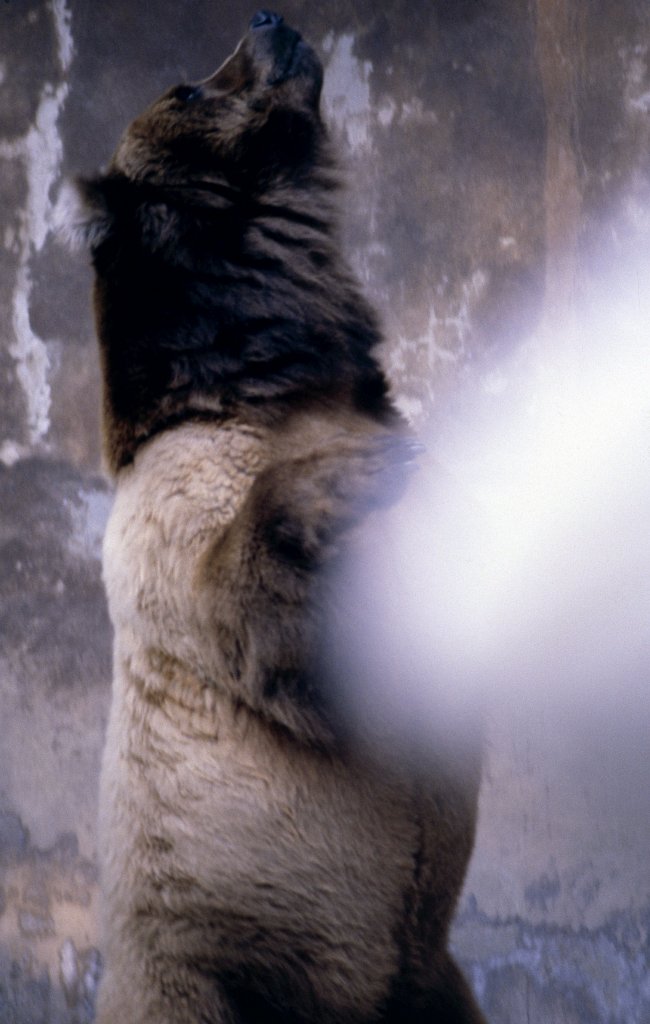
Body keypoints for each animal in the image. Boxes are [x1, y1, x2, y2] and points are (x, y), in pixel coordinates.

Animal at [75, 11, 486, 1024]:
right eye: (187, 87)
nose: (266, 18)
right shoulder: (176, 501)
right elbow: (276, 640)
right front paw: (336, 484)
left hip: (429, 974)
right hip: (205, 972)